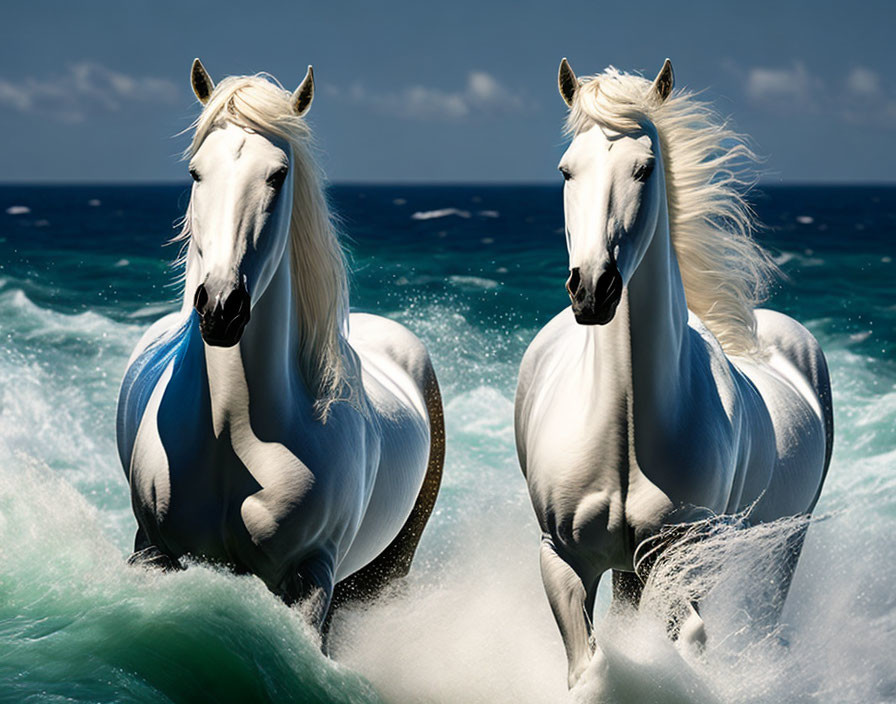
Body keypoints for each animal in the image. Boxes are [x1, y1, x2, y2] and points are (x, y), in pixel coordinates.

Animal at [115, 60, 444, 628]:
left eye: (278, 174)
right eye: (196, 172)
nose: (221, 306)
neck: (230, 430)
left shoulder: (310, 579)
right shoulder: (154, 552)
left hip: (387, 570)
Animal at [516, 59, 836, 688]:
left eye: (644, 167)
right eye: (567, 169)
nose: (593, 289)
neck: (627, 426)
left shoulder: (680, 558)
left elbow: (689, 638)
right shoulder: (562, 558)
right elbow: (589, 665)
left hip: (783, 546)